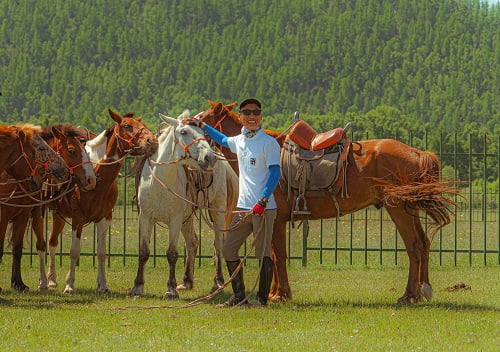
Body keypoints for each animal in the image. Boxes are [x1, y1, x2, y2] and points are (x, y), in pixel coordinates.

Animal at [0, 124, 94, 292]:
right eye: (71, 150)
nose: (90, 179)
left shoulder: (24, 214)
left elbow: (17, 248)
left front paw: (18, 283)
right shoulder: (6, 213)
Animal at [44, 110, 158, 294]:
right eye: (127, 125)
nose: (152, 141)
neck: (98, 178)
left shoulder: (104, 219)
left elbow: (102, 252)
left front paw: (103, 285)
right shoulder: (78, 219)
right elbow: (74, 251)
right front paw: (70, 285)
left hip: (58, 215)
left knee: (52, 242)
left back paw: (52, 280)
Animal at [130, 111, 222, 298]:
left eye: (203, 133)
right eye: (184, 132)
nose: (210, 158)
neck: (160, 181)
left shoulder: (175, 219)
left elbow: (172, 254)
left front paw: (171, 289)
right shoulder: (145, 217)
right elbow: (143, 252)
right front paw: (137, 287)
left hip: (218, 213)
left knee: (219, 246)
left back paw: (218, 283)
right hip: (187, 220)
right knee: (192, 242)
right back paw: (186, 282)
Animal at [194, 100, 458, 304]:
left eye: (199, 121)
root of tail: (418, 153)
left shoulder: (276, 219)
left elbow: (278, 255)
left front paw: (281, 294)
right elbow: (273, 254)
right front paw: (275, 292)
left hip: (398, 209)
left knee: (414, 246)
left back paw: (409, 294)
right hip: (408, 209)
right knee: (423, 243)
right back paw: (423, 289)